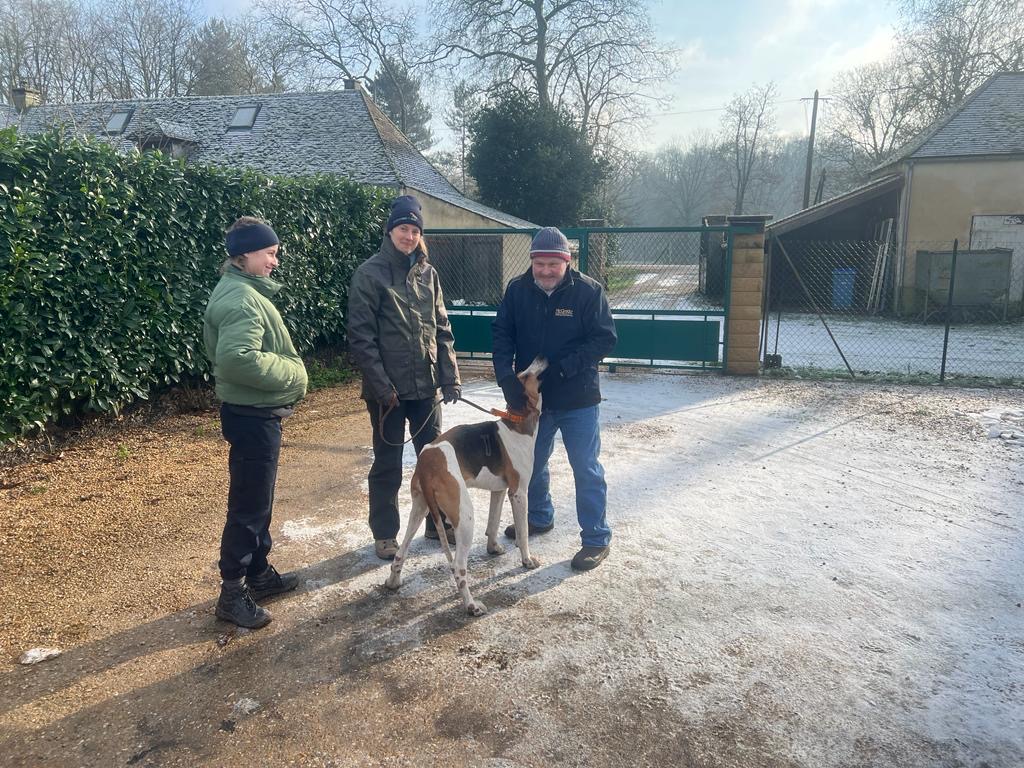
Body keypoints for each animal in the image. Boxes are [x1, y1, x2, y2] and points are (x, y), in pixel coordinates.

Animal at [385, 358, 548, 618]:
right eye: (524, 375)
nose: (541, 357)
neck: (517, 424)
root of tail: (426, 463)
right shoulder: (519, 493)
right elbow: (523, 533)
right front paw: (527, 560)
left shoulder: (499, 491)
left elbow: (493, 524)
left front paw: (493, 548)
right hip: (465, 515)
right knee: (459, 567)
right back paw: (471, 605)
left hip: (420, 509)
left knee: (402, 552)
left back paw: (393, 582)